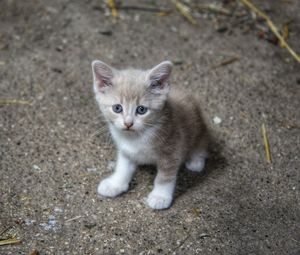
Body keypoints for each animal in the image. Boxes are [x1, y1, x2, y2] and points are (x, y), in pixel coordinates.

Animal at [91, 60, 209, 209]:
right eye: (117, 108)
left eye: (141, 110)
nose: (128, 123)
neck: (136, 137)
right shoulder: (126, 150)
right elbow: (123, 167)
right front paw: (115, 184)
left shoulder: (173, 150)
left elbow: (164, 177)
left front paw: (160, 197)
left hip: (199, 130)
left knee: (202, 144)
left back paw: (195, 161)